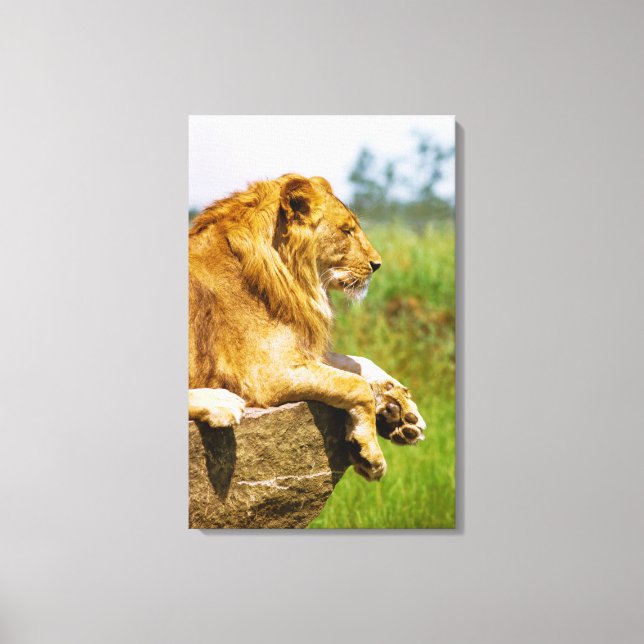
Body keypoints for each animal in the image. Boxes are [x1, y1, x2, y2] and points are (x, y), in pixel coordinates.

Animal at [188, 174, 425, 480]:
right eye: (346, 231)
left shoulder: (302, 349)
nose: (377, 264)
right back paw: (221, 403)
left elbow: (359, 363)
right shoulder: (264, 375)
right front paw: (368, 452)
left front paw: (401, 412)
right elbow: (355, 384)